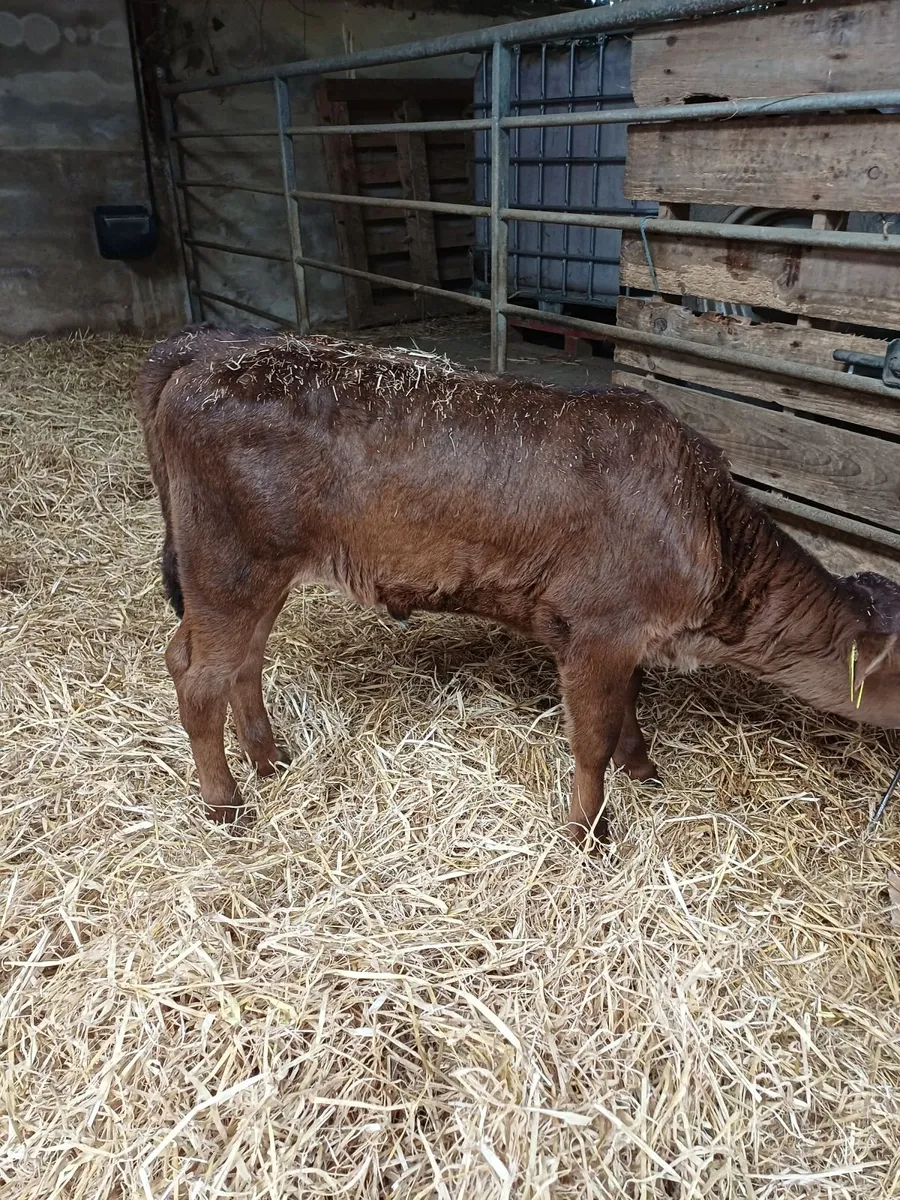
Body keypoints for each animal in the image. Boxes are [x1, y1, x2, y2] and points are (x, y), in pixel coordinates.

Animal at [135, 324, 900, 843]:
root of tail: (207, 352)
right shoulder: (598, 633)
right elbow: (592, 739)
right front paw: (589, 833)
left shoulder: (626, 639)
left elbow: (629, 710)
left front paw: (643, 768)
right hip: (231, 565)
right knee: (198, 679)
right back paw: (228, 804)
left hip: (253, 575)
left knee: (236, 662)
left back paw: (269, 760)